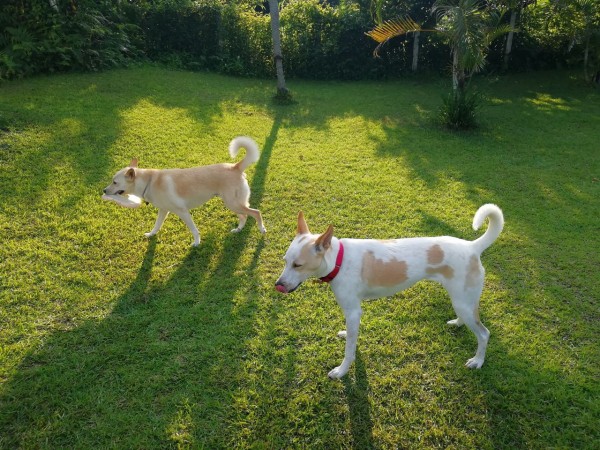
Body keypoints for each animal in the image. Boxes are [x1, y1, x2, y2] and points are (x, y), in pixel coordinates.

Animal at [102, 136, 264, 246]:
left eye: (115, 182)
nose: (104, 190)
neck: (149, 182)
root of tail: (235, 167)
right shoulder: (163, 211)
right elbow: (157, 225)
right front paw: (151, 234)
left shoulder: (183, 212)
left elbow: (194, 230)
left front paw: (197, 243)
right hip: (233, 203)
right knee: (244, 216)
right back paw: (238, 230)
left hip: (232, 203)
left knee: (255, 212)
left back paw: (262, 229)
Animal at [276, 206, 502, 378]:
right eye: (285, 261)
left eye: (298, 265)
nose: (278, 284)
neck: (338, 259)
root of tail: (473, 247)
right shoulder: (352, 314)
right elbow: (351, 336)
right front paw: (347, 335)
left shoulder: (353, 311)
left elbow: (349, 351)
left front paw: (341, 371)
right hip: (461, 300)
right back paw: (457, 323)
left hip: (464, 302)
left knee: (484, 334)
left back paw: (478, 360)